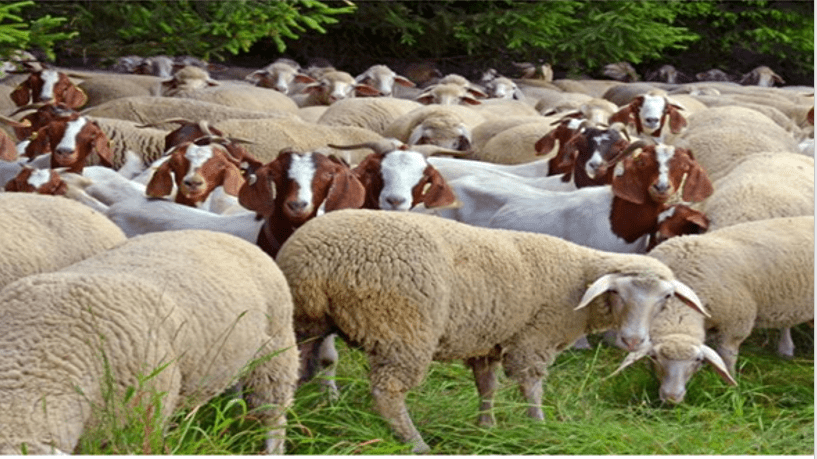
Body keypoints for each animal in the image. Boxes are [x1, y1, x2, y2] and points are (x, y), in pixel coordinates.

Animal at [276, 208, 706, 453]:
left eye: (666, 299)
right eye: (618, 293)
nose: (634, 340)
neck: (579, 274)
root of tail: (318, 261)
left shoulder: (490, 340)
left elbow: (488, 386)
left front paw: (487, 427)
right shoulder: (533, 338)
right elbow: (531, 386)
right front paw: (538, 426)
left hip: (306, 322)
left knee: (297, 370)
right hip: (402, 329)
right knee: (388, 393)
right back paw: (416, 443)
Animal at [612, 216, 813, 403]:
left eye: (697, 360)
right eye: (654, 357)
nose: (671, 398)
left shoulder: (736, 324)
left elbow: (726, 356)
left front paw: (730, 388)